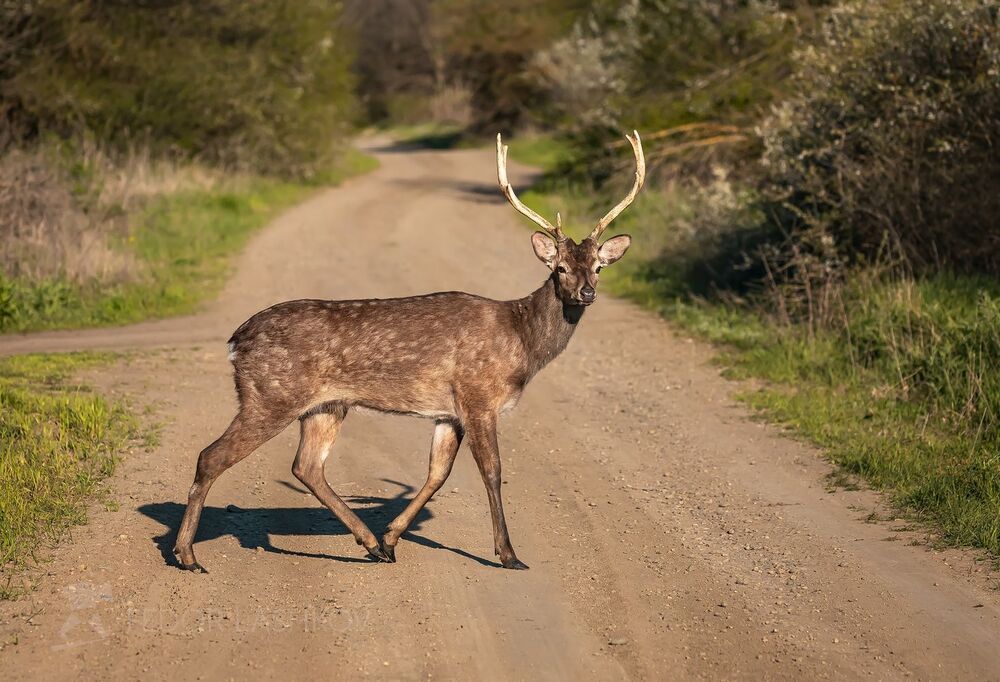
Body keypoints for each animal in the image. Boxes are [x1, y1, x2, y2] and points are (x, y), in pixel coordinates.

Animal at [173, 131, 645, 572]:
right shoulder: (478, 396)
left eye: (598, 267)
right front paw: (509, 554)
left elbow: (437, 473)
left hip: (325, 406)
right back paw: (187, 555)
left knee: (306, 466)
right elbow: (492, 471)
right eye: (560, 268)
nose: (586, 293)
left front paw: (392, 536)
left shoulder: (447, 412)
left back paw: (372, 544)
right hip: (270, 395)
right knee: (211, 456)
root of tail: (236, 340)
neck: (522, 342)